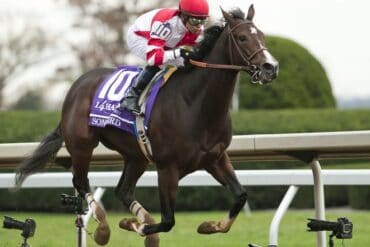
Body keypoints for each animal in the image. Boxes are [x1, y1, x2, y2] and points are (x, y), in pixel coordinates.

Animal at [15, 4, 278, 246]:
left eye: (262, 35)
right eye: (242, 38)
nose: (270, 67)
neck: (195, 104)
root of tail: (76, 86)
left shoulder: (216, 158)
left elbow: (240, 196)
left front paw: (209, 226)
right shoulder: (167, 168)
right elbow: (168, 220)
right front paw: (137, 226)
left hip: (136, 156)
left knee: (122, 190)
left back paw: (138, 218)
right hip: (82, 146)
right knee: (81, 182)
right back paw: (103, 228)